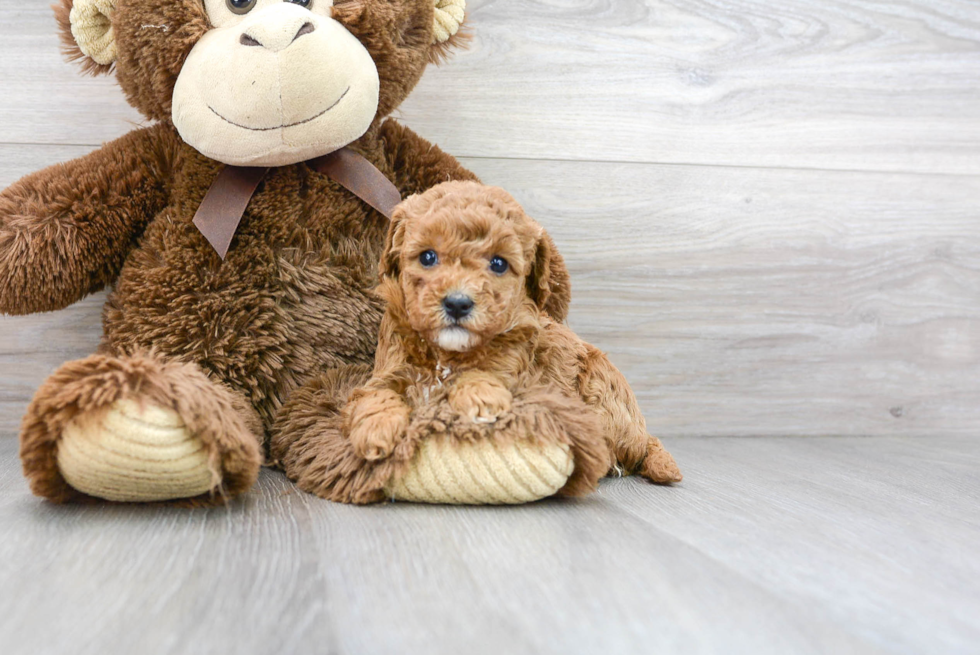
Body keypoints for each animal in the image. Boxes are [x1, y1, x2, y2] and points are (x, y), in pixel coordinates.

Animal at [344, 182, 680, 490]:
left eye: (498, 263)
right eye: (428, 257)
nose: (457, 303)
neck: (448, 353)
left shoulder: (518, 375)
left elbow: (485, 375)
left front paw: (481, 399)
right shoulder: (387, 370)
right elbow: (375, 396)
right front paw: (376, 430)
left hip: (601, 388)